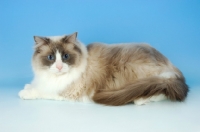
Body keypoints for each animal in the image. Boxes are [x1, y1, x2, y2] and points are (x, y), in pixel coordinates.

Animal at [18, 32, 188, 105]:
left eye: (65, 56)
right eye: (51, 58)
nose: (59, 67)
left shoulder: (68, 92)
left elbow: (42, 92)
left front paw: (24, 93)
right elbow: (35, 86)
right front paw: (27, 87)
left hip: (141, 76)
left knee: (159, 91)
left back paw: (140, 100)